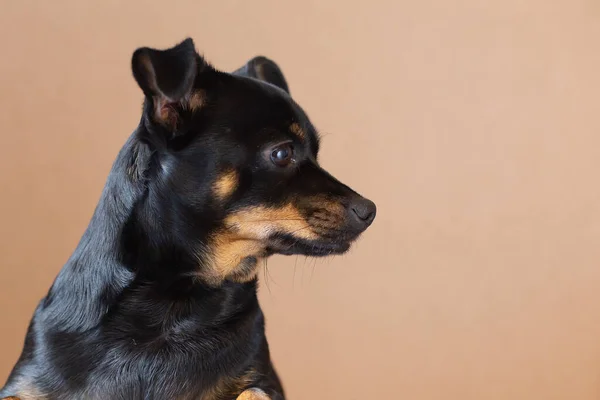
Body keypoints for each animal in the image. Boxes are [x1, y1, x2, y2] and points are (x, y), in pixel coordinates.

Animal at [1, 38, 376, 400]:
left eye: (316, 155)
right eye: (283, 153)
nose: (369, 210)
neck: (170, 302)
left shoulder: (264, 384)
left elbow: (252, 392)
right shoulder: (22, 387)